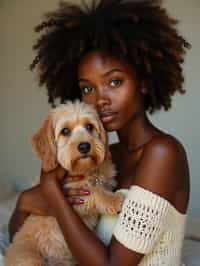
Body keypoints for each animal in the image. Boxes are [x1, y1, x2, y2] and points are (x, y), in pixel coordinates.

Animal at [4, 101, 123, 264]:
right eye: (65, 131)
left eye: (89, 126)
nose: (84, 146)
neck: (86, 170)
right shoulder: (72, 195)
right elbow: (92, 191)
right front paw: (112, 200)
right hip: (29, 257)